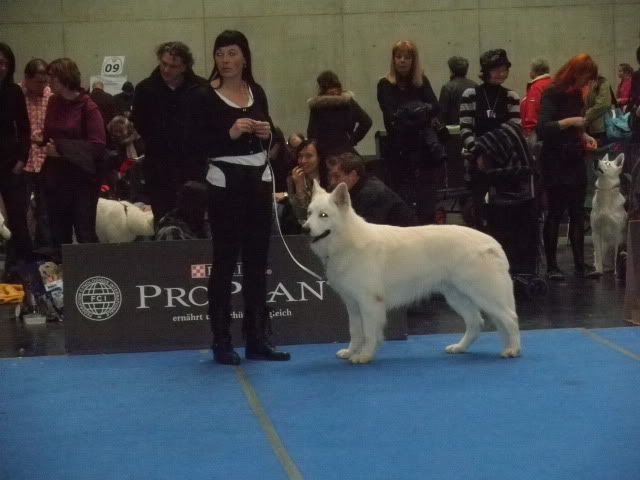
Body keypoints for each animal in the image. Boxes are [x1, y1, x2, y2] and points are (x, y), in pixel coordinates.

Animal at [303, 181, 521, 364]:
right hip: (456, 296)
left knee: (510, 318)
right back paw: (459, 348)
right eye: (309, 213)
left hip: (484, 294)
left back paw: (513, 350)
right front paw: (350, 352)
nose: (304, 229)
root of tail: (493, 243)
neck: (346, 240)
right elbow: (355, 331)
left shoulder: (369, 302)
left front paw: (364, 356)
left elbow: (369, 333)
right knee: (476, 323)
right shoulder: (353, 304)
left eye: (324, 215)